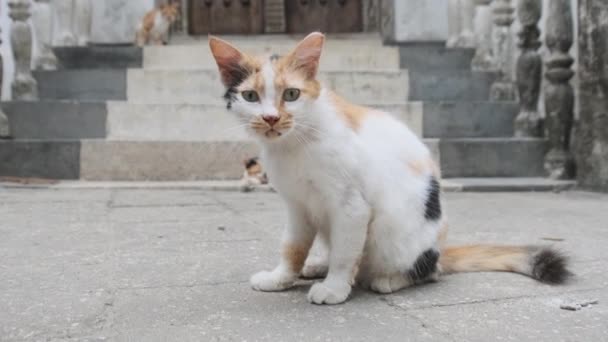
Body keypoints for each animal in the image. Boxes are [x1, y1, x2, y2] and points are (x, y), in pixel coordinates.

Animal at [209, 32, 568, 304]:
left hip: (396, 233)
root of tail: (439, 248)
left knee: (428, 272)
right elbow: (292, 246)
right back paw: (318, 265)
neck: (294, 144)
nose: (271, 118)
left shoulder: (352, 206)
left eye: (292, 94)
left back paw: (388, 279)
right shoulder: (297, 206)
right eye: (250, 96)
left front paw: (335, 288)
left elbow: (345, 252)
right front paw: (282, 277)